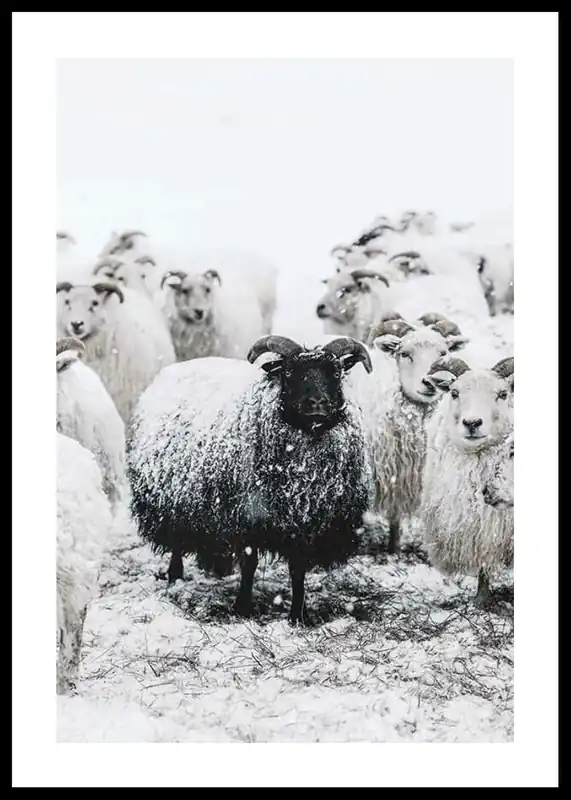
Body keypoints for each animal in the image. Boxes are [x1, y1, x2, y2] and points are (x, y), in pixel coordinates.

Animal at [126, 335, 374, 625]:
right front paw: (242, 607)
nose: (317, 403)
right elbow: (249, 563)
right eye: (289, 372)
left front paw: (298, 616)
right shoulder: (246, 517)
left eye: (335, 372)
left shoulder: (304, 523)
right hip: (173, 502)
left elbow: (297, 568)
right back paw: (175, 577)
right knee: (176, 543)